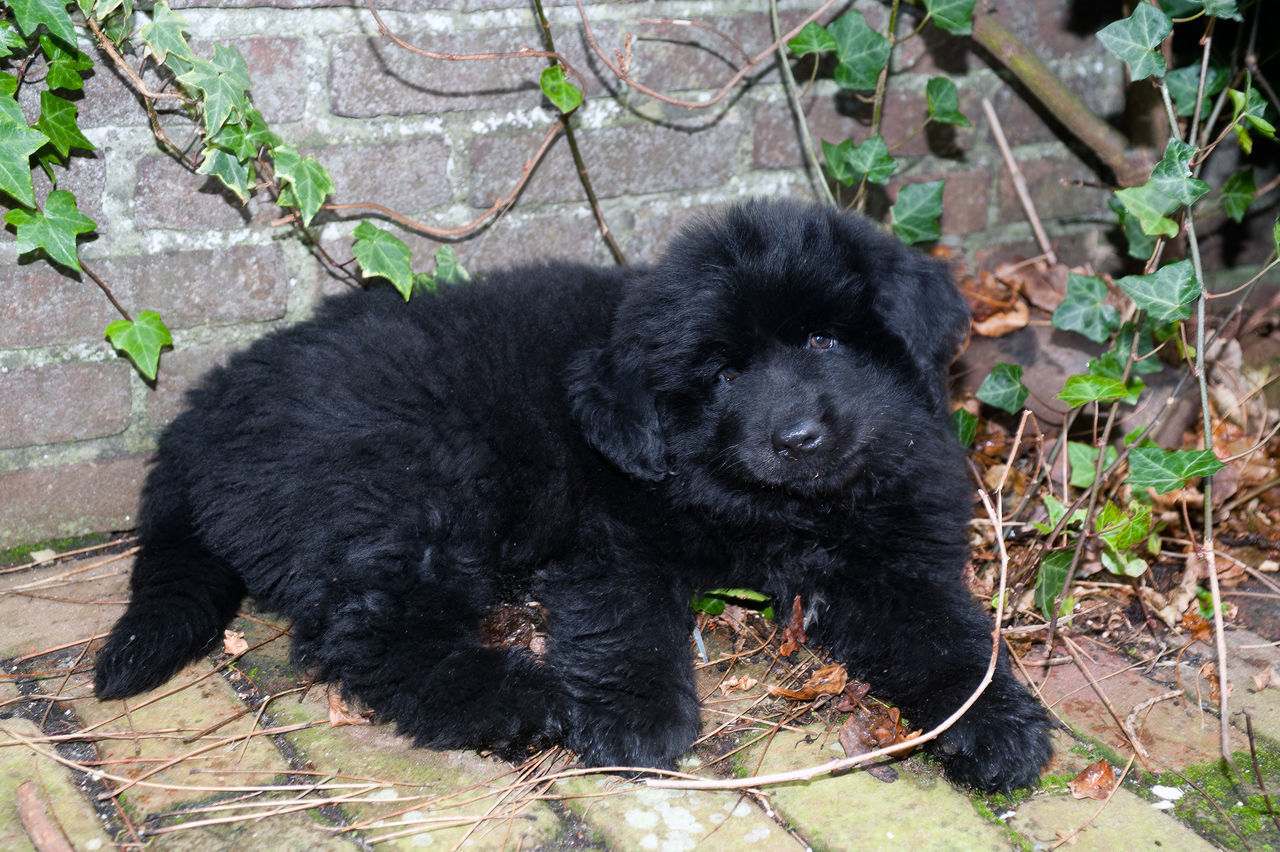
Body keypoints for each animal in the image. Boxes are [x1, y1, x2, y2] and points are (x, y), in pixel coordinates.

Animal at [97, 199, 1049, 788]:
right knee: (369, 633)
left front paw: (998, 724)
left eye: (824, 340)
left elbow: (950, 641)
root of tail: (200, 419)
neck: (776, 505)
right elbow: (626, 621)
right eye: (723, 373)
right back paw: (519, 698)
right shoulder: (613, 534)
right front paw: (634, 718)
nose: (798, 439)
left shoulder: (896, 561)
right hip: (417, 485)